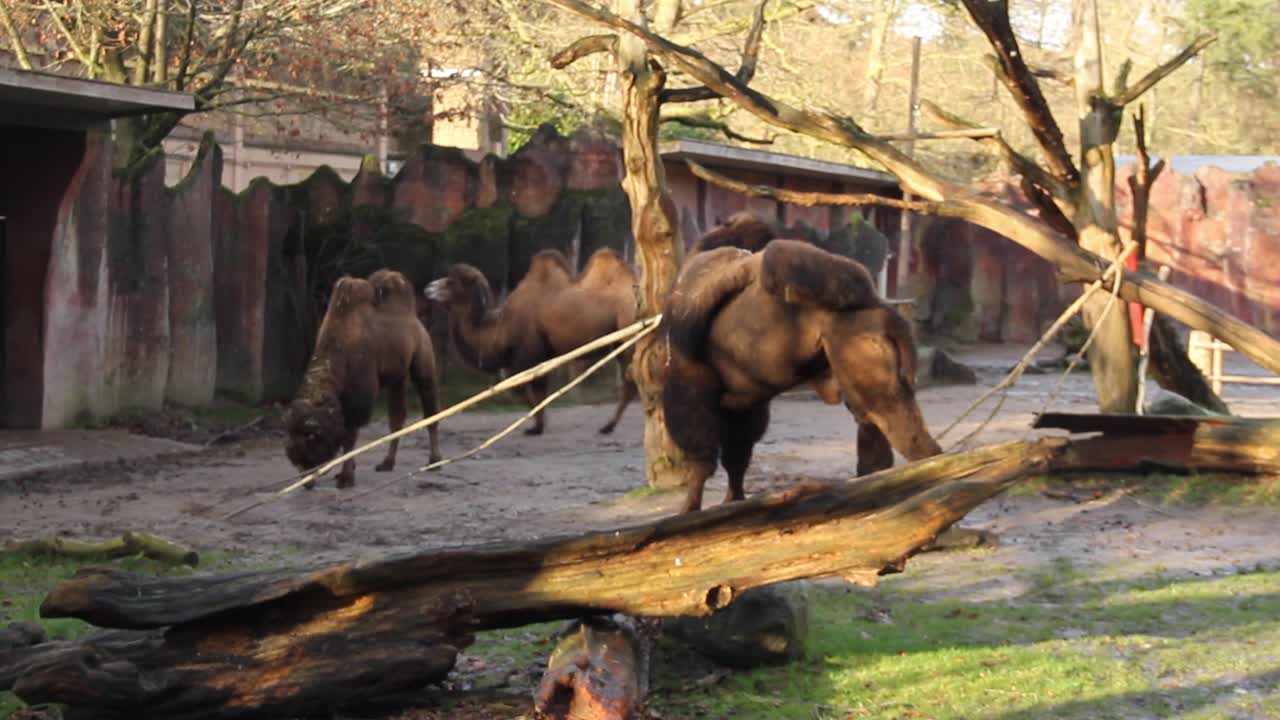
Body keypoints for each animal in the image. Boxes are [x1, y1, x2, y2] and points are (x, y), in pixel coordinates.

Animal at [284, 269, 443, 488]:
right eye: (294, 457)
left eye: (310, 450)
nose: (306, 483)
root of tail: (414, 317)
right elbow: (347, 436)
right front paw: (345, 473)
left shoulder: (358, 397)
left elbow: (349, 437)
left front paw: (346, 478)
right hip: (397, 377)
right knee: (397, 418)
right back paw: (386, 463)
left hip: (423, 357)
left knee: (429, 407)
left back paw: (435, 461)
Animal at [424, 247, 639, 436]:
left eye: (450, 282)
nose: (428, 289)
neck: (502, 327)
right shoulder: (542, 355)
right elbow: (539, 390)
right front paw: (538, 427)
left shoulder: (527, 353)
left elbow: (519, 389)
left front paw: (536, 426)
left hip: (627, 335)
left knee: (631, 383)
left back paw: (608, 426)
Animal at [661, 238, 943, 512]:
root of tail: (886, 314)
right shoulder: (743, 403)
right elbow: (735, 455)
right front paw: (732, 500)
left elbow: (704, 453)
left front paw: (691, 508)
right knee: (879, 426)